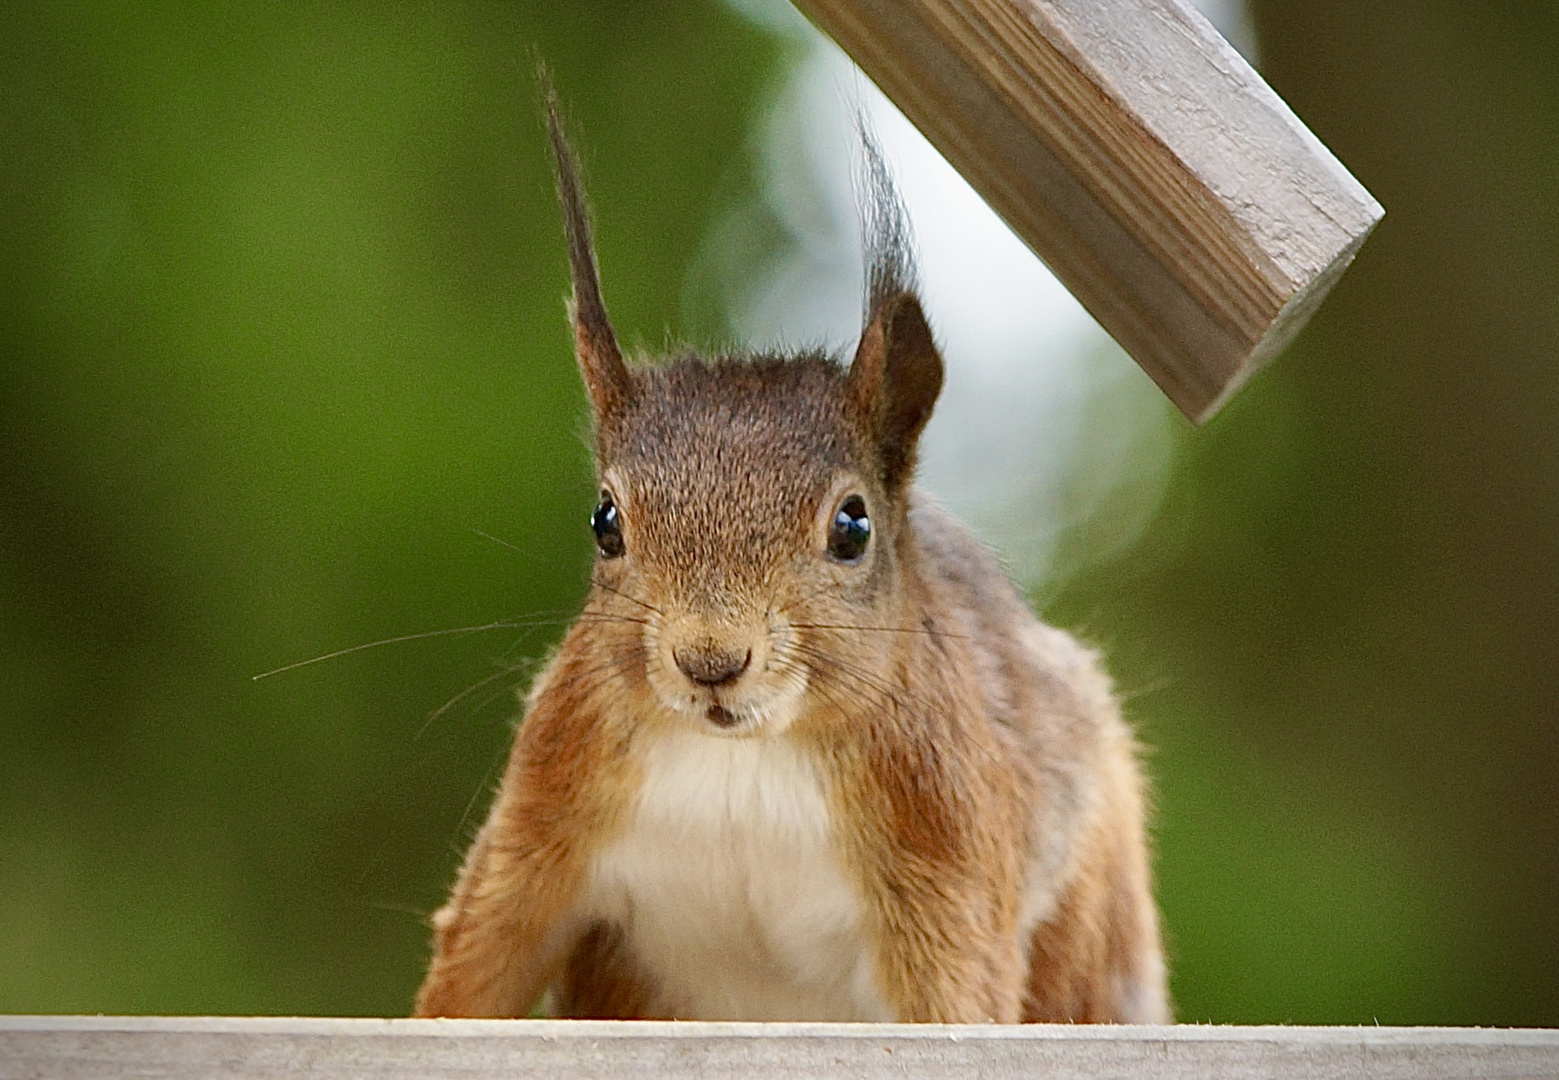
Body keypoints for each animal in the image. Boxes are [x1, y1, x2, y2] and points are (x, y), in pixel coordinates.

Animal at [414, 90, 1172, 1022]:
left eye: (852, 527)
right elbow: (480, 954)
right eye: (604, 522)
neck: (746, 760)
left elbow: (957, 1003)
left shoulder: (946, 863)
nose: (710, 660)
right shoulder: (545, 807)